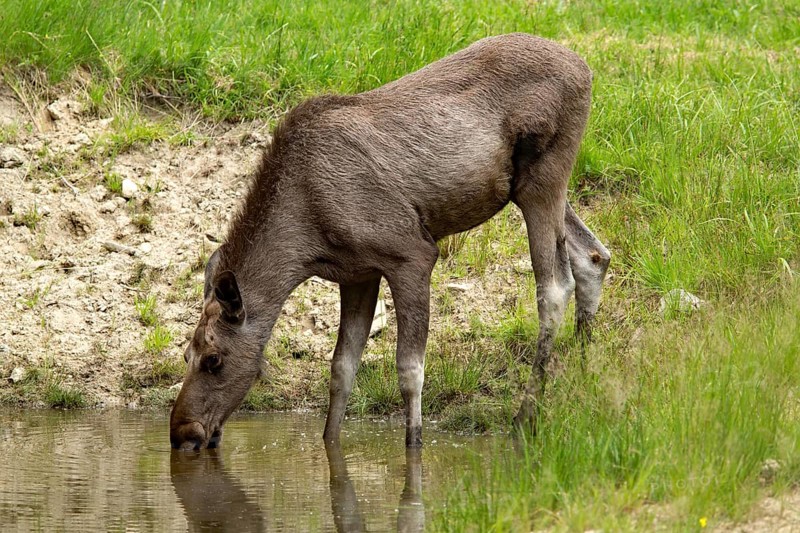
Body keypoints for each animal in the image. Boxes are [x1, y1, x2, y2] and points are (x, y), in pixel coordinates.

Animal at [169, 33, 611, 451]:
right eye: (185, 354)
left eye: (213, 359)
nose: (182, 433)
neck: (304, 242)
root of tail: (586, 70)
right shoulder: (357, 274)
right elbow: (342, 368)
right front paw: (329, 442)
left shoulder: (411, 254)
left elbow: (409, 369)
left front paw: (414, 442)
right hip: (532, 189)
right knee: (593, 256)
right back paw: (582, 377)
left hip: (544, 178)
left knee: (554, 287)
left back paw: (525, 416)